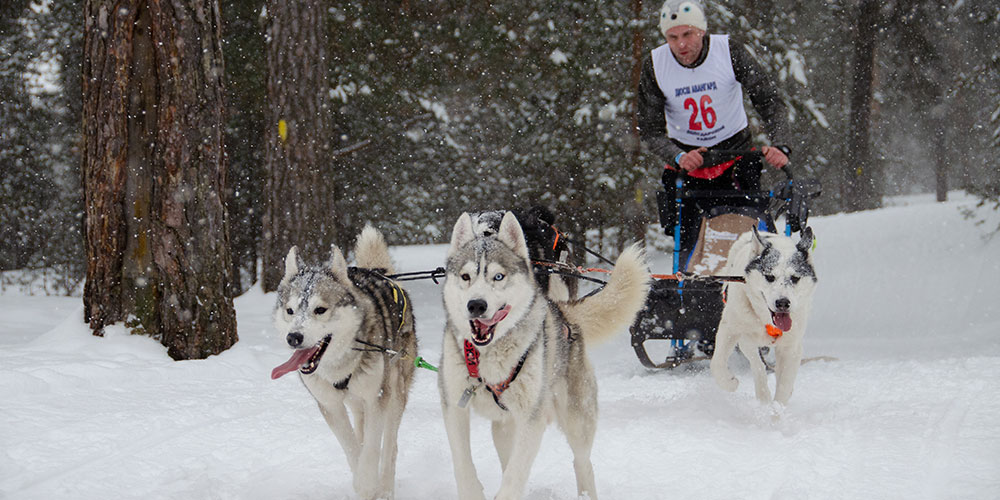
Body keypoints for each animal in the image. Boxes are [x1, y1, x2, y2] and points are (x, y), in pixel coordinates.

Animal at [270, 225, 414, 498]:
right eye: (290, 311)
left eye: (320, 310)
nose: (293, 338)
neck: (338, 366)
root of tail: (380, 272)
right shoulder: (330, 405)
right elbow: (351, 446)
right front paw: (360, 480)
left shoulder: (377, 397)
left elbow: (372, 449)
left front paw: (368, 483)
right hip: (358, 403)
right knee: (361, 430)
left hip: (395, 393)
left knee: (390, 445)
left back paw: (385, 488)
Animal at [438, 212, 648, 500]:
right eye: (466, 276)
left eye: (498, 276)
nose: (476, 305)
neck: (488, 358)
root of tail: (562, 310)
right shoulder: (454, 406)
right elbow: (464, 465)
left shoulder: (531, 419)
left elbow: (514, 477)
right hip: (505, 428)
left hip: (576, 421)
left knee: (582, 463)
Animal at [708, 227, 816, 406]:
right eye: (770, 276)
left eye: (795, 278)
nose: (783, 303)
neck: (766, 321)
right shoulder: (730, 330)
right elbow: (718, 363)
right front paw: (730, 383)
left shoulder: (792, 347)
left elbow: (784, 383)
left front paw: (777, 409)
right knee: (756, 363)